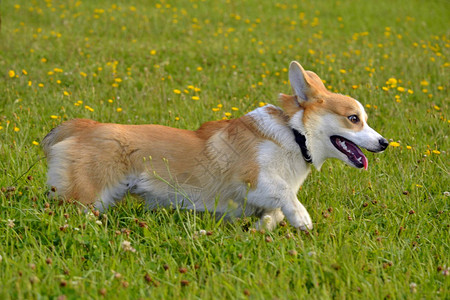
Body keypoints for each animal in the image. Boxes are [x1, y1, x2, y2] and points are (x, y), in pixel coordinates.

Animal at [41, 61, 386, 230]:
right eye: (354, 119)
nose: (384, 143)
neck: (294, 134)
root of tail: (83, 126)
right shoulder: (253, 178)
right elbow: (285, 194)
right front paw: (302, 219)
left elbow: (274, 212)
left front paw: (261, 227)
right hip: (86, 197)